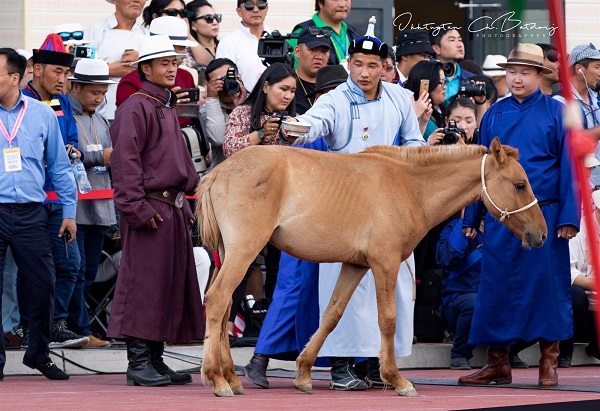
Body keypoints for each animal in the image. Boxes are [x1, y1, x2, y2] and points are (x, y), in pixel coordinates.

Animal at [197, 138, 548, 400]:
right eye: (520, 184)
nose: (542, 234)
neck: (408, 186)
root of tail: (219, 171)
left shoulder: (355, 265)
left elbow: (331, 315)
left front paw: (304, 373)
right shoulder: (385, 264)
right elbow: (388, 320)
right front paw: (396, 379)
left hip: (231, 254)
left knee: (225, 307)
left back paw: (231, 377)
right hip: (245, 250)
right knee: (217, 299)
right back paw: (217, 379)